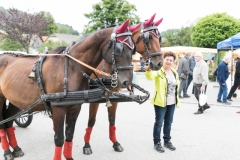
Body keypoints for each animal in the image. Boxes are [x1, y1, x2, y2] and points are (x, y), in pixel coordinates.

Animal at [0, 19, 140, 160]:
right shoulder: (58, 109)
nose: (127, 81)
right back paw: (7, 152)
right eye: (120, 49)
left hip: (16, 99)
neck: (71, 68)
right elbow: (59, 139)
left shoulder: (75, 107)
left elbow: (69, 135)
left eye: (133, 50)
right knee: (2, 122)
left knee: (9, 121)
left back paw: (16, 148)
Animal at [83, 13, 164, 154]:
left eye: (159, 38)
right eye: (148, 38)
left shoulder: (114, 96)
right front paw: (87, 145)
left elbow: (112, 120)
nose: (159, 63)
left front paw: (115, 143)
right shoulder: (94, 99)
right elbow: (91, 121)